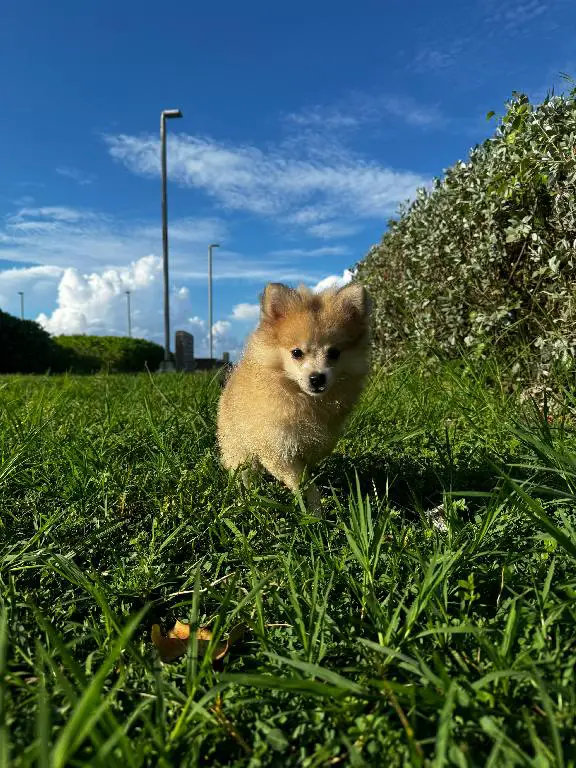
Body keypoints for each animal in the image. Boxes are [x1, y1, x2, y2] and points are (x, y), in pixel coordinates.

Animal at [218, 280, 372, 510]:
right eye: (296, 353)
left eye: (334, 353)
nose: (317, 378)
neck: (302, 398)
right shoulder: (278, 449)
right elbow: (301, 482)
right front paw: (310, 509)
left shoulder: (312, 448)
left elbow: (309, 480)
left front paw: (315, 509)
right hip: (239, 449)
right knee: (245, 473)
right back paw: (249, 499)